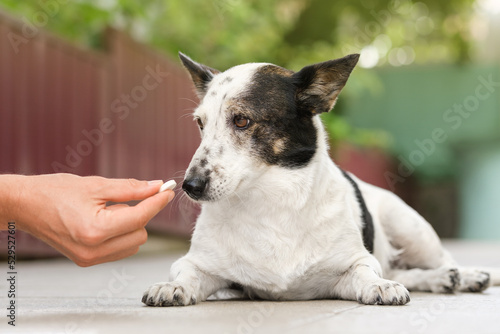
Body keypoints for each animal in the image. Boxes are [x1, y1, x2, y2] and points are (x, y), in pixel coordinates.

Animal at [143, 51, 498, 306]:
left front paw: (380, 286)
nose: (190, 186)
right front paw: (172, 287)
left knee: (441, 260)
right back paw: (441, 280)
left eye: (242, 120)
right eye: (200, 124)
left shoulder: (352, 266)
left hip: (412, 228)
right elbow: (185, 274)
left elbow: (368, 272)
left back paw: (468, 275)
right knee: (403, 269)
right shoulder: (201, 265)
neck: (270, 203)